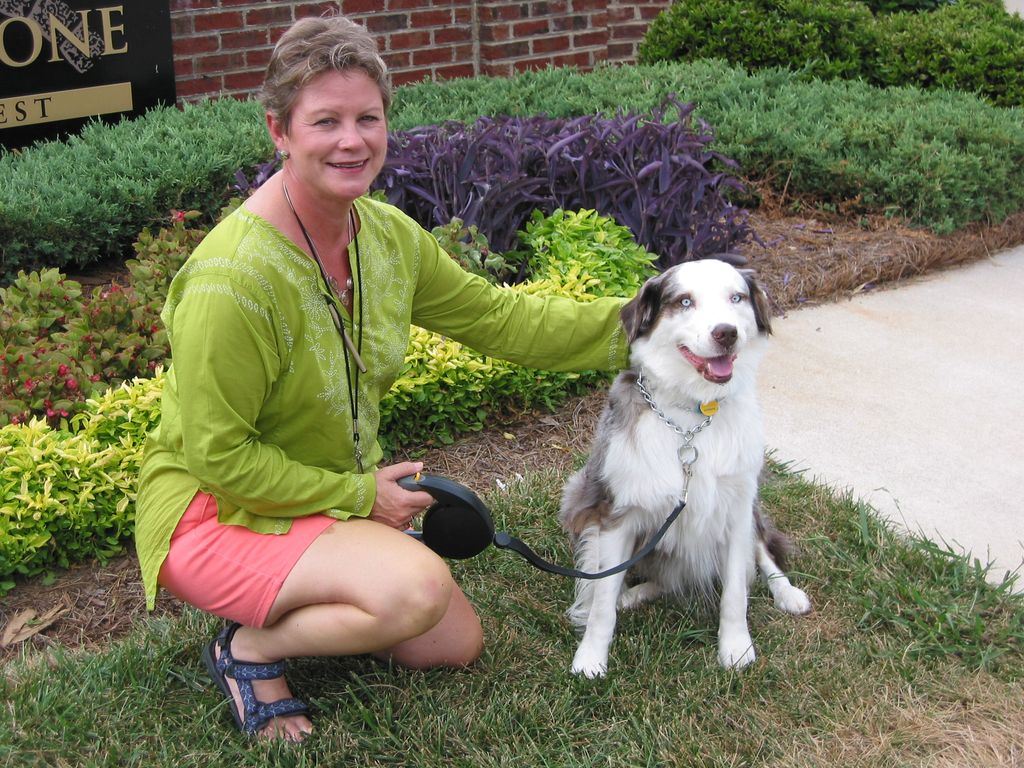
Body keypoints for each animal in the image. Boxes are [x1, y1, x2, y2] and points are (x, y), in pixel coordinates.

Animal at [561, 257, 806, 679]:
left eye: (737, 297)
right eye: (685, 301)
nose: (726, 333)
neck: (694, 414)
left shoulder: (737, 508)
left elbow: (736, 591)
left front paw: (736, 647)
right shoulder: (617, 513)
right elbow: (602, 603)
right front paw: (590, 658)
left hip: (753, 509)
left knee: (762, 555)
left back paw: (787, 593)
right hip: (579, 498)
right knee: (657, 578)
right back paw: (633, 594)